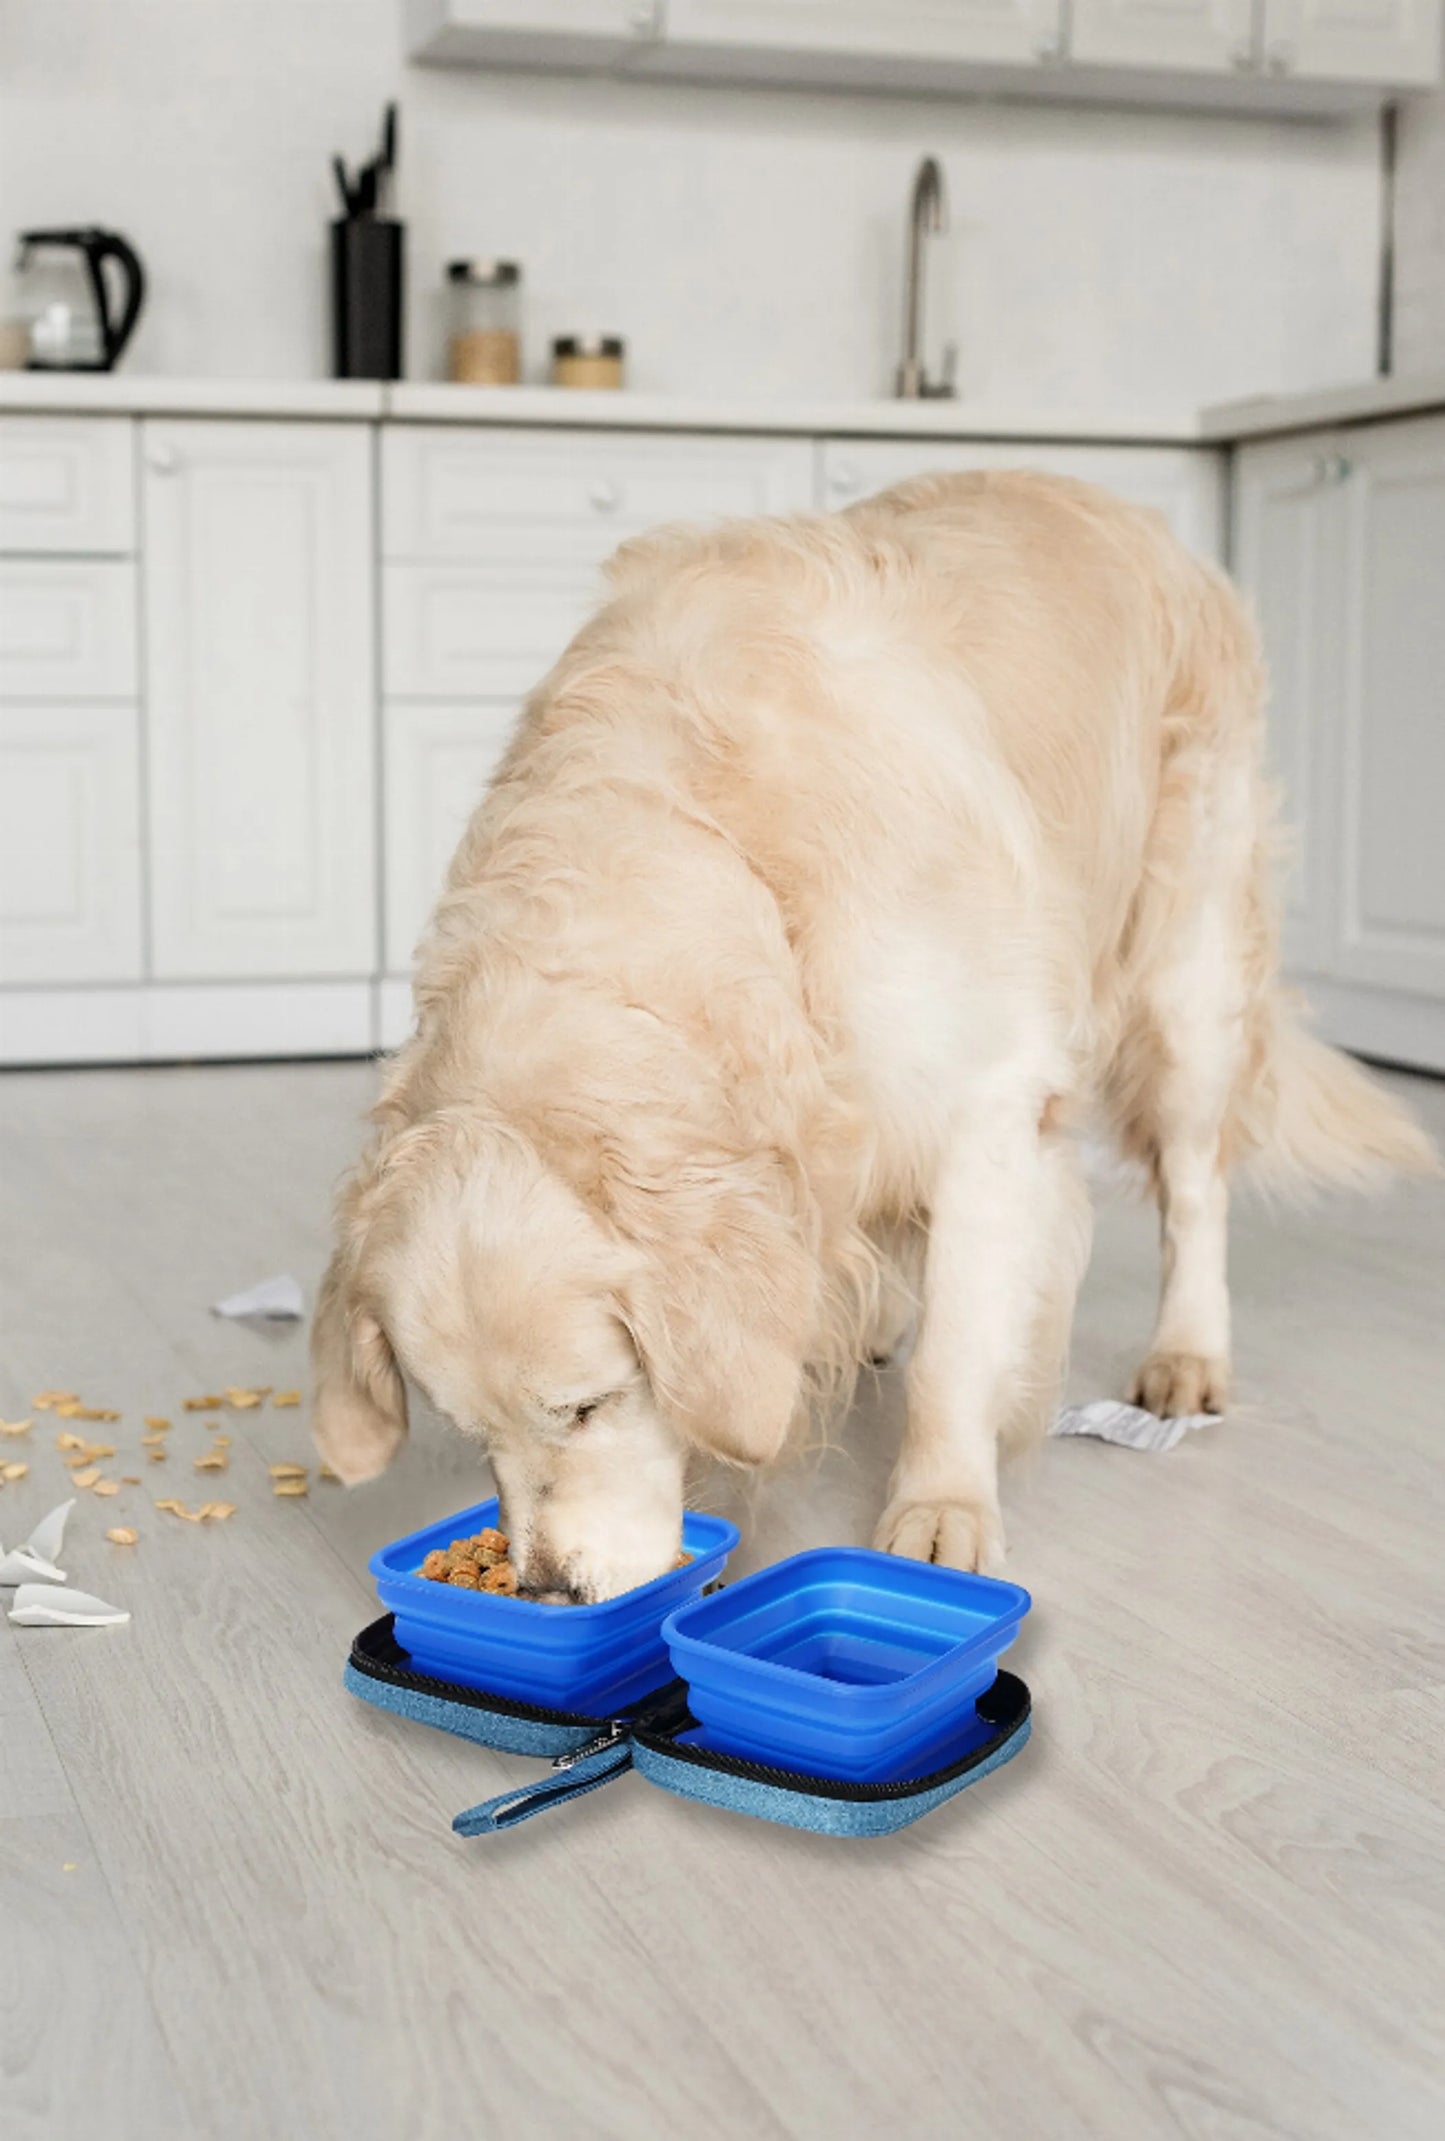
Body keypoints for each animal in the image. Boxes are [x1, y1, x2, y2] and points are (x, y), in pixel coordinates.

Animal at [308, 477, 1438, 1601]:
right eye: (472, 1435)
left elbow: (960, 1345)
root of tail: (1132, 509)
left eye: (587, 1404)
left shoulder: (989, 1100)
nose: (546, 1588)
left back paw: (1186, 1353)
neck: (721, 854)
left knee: (1195, 1185)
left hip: (1185, 967)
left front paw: (941, 1507)